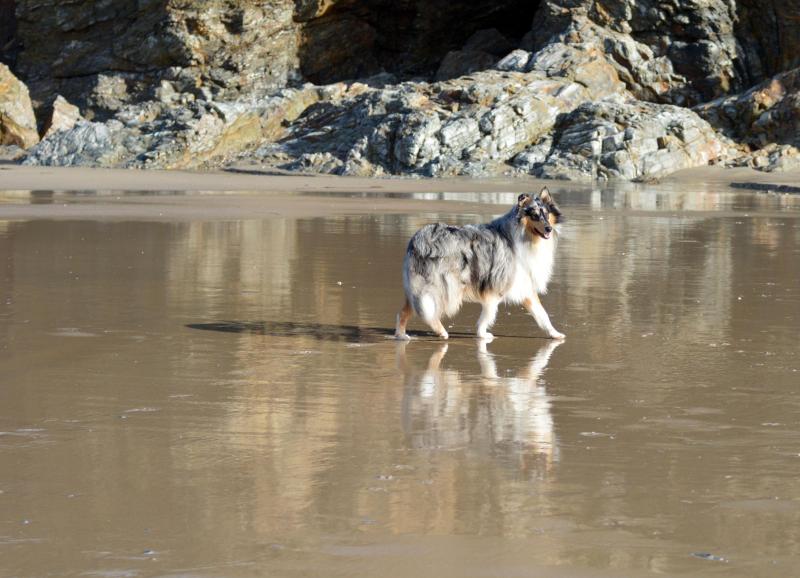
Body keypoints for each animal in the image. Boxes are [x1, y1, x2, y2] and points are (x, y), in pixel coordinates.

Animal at [396, 186, 564, 338]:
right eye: (534, 215)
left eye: (546, 214)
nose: (548, 229)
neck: (525, 237)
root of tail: (416, 240)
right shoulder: (497, 285)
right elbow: (489, 313)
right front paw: (482, 334)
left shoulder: (524, 285)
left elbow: (542, 313)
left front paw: (555, 334)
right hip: (444, 286)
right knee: (428, 313)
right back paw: (441, 332)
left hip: (419, 288)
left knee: (404, 312)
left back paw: (401, 336)